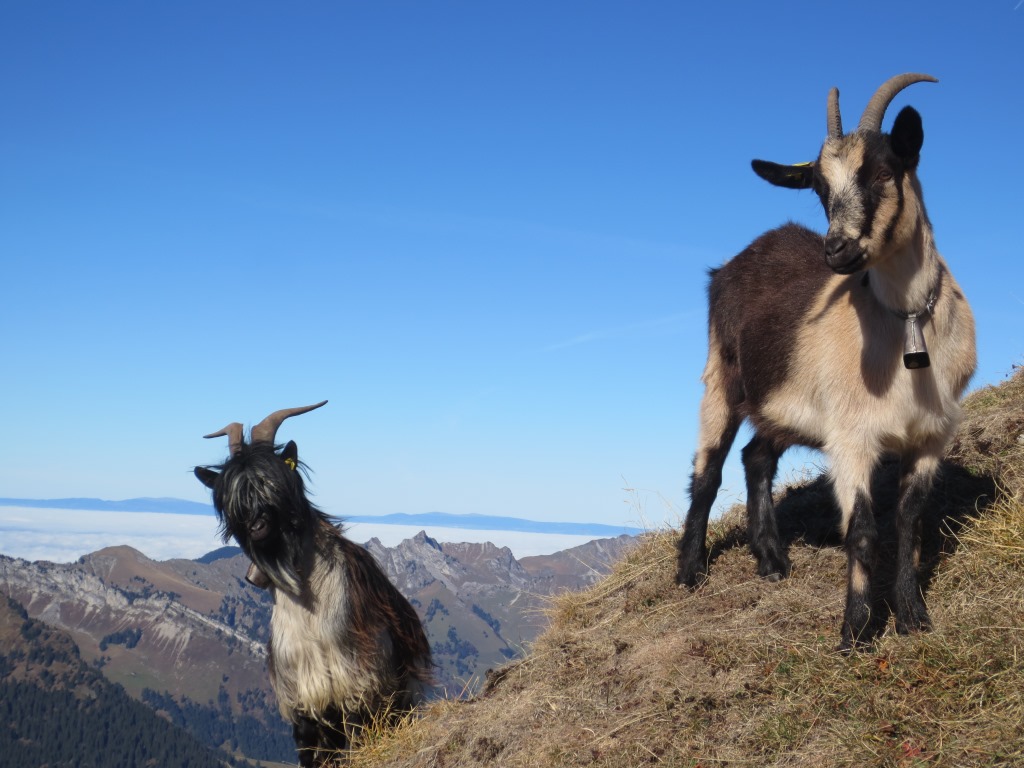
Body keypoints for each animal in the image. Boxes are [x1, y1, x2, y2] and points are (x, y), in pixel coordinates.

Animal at [195, 399, 432, 765]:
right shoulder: (304, 696)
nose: (257, 528)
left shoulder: (358, 681)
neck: (309, 610)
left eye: (274, 482)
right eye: (231, 499)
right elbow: (310, 750)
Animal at [675, 73, 978, 651]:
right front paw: (855, 632)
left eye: (883, 169)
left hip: (782, 404)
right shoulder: (851, 436)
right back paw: (688, 570)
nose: (836, 251)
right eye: (819, 187)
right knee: (708, 471)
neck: (903, 323)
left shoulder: (930, 435)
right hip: (721, 378)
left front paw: (913, 616)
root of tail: (731, 265)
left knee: (756, 458)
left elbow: (908, 522)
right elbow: (861, 530)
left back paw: (771, 560)